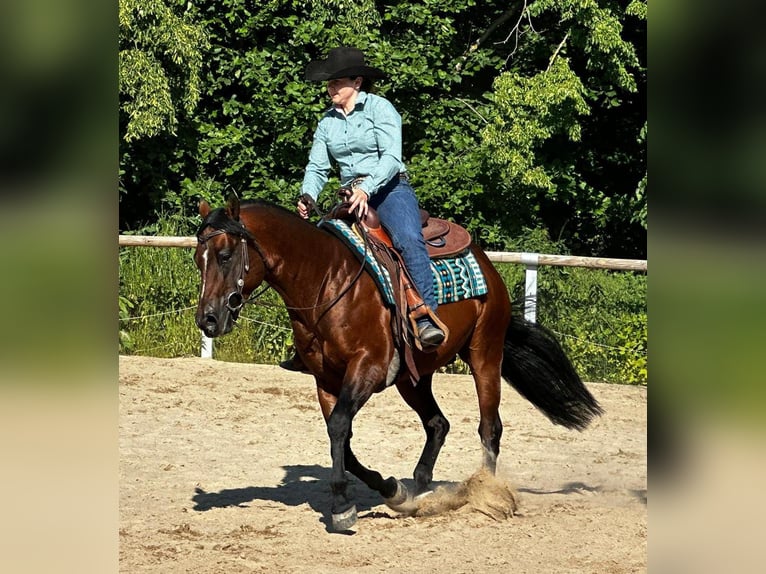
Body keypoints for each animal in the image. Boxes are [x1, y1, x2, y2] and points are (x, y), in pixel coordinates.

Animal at [194, 195, 603, 531]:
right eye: (199, 260)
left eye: (225, 255)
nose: (208, 319)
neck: (327, 279)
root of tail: (488, 267)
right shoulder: (326, 380)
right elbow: (342, 439)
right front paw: (392, 490)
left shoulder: (368, 368)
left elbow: (339, 428)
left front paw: (342, 506)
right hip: (413, 377)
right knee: (438, 424)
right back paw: (419, 489)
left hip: (485, 353)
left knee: (490, 428)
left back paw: (485, 494)